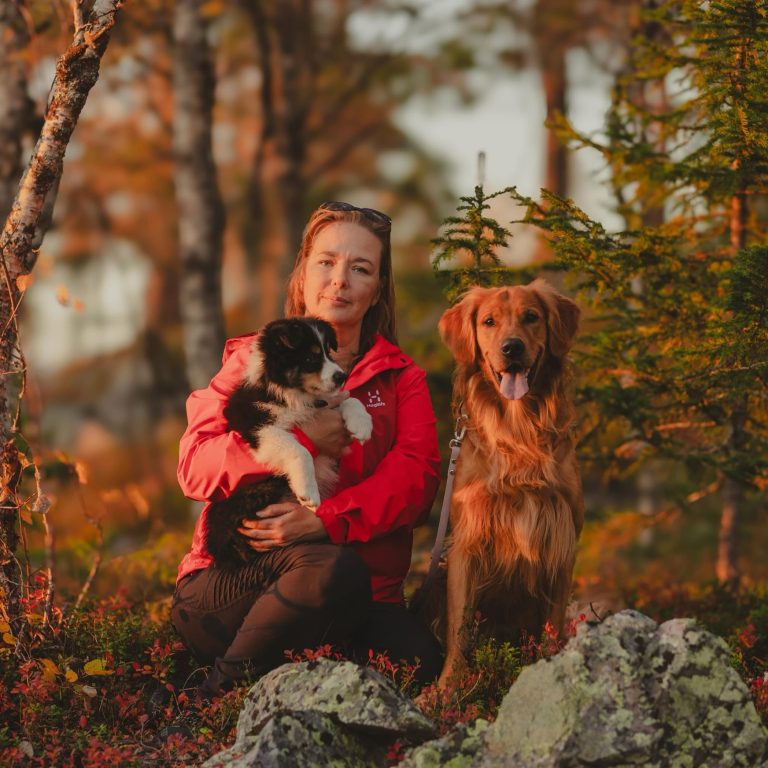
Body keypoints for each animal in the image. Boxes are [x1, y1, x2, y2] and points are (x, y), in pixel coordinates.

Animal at [204, 316, 372, 568]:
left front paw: (362, 424)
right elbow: (299, 450)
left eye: (328, 352)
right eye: (310, 358)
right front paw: (308, 492)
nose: (341, 376)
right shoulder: (258, 427)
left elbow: (349, 400)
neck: (293, 394)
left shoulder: (322, 404)